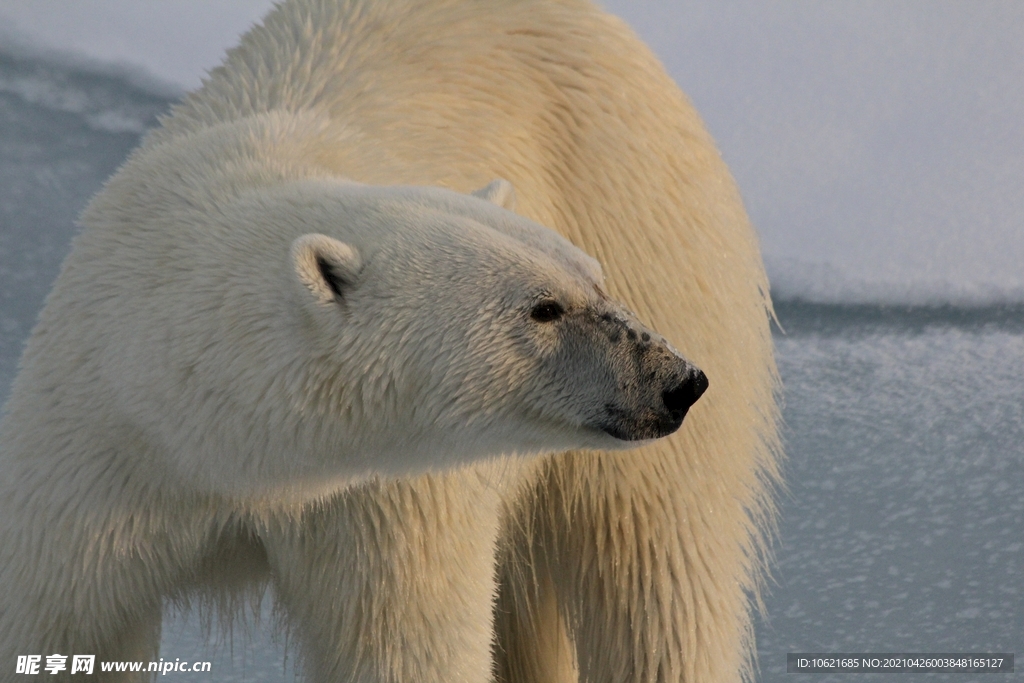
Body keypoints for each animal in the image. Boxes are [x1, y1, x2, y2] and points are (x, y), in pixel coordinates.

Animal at [0, 1, 774, 683]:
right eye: (545, 308)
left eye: (592, 277)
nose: (675, 380)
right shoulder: (96, 463)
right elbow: (63, 627)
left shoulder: (383, 502)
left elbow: (404, 646)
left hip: (648, 211)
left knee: (658, 575)